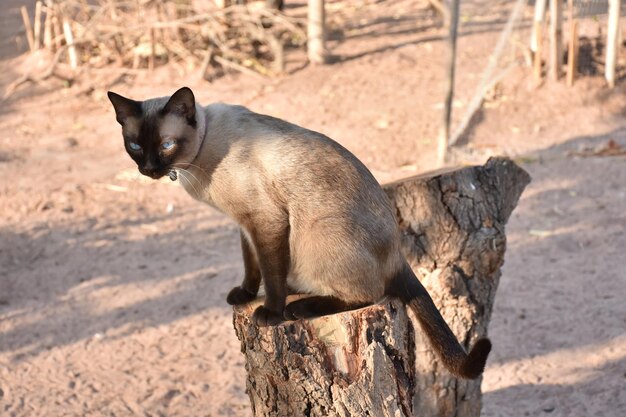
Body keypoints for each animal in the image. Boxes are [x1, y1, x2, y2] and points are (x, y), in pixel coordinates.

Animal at [107, 86, 490, 378]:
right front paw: (245, 295)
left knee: (369, 294)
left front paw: (270, 313)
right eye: (135, 146)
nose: (149, 169)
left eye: (166, 145)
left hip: (319, 231)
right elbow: (252, 266)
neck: (200, 156)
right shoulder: (245, 225)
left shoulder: (265, 221)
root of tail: (398, 253)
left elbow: (270, 274)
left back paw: (298, 309)